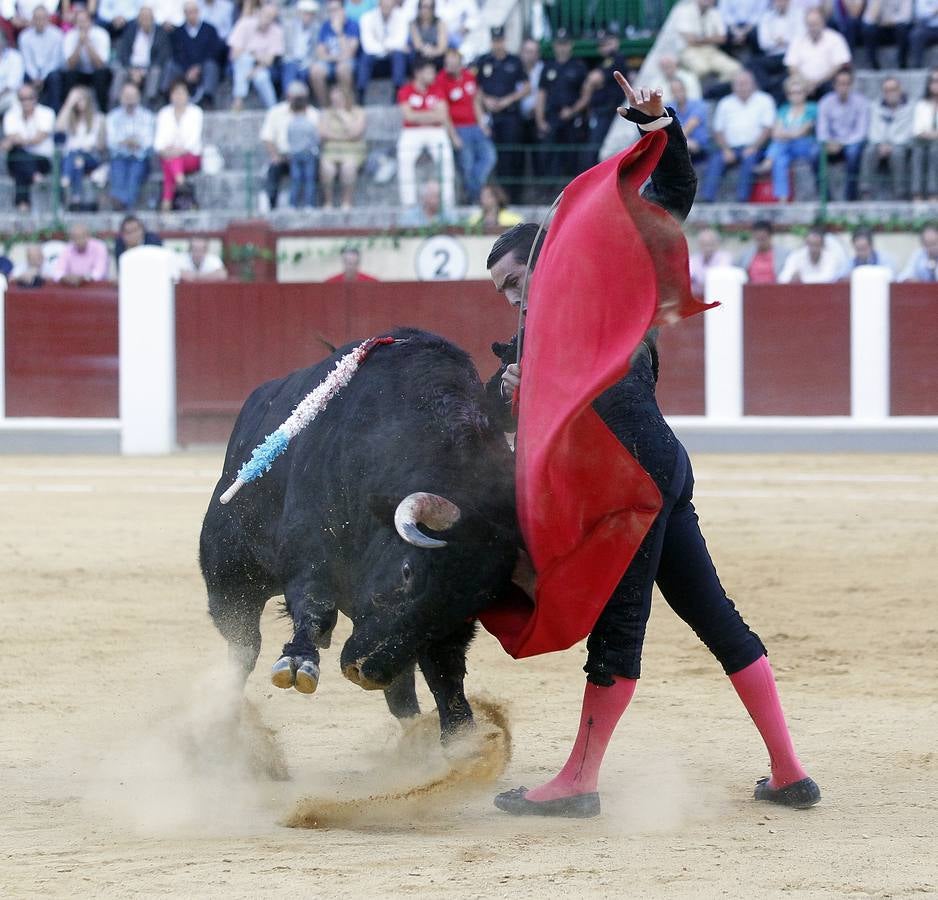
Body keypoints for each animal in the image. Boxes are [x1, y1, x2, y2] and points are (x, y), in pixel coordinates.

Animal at [199, 330, 520, 740]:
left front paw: (462, 737)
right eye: (407, 571)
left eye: (473, 605)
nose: (366, 671)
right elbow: (315, 605)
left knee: (403, 694)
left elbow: (444, 671)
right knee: (244, 646)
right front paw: (297, 663)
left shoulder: (435, 630)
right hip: (230, 577)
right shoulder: (310, 546)